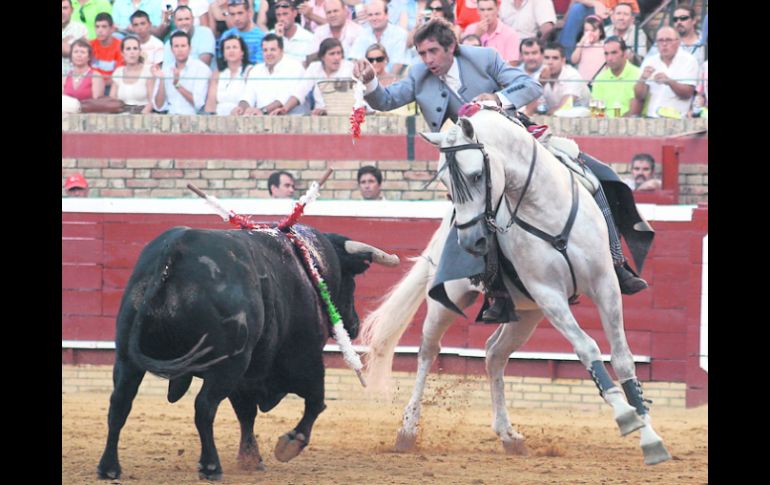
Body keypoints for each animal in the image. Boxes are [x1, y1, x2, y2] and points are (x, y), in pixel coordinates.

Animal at [97, 224, 396, 480]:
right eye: (352, 280)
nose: (354, 324)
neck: (310, 264)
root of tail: (176, 248)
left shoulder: (246, 377)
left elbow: (246, 413)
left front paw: (251, 458)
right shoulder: (306, 359)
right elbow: (315, 402)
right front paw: (290, 442)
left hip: (127, 358)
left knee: (119, 403)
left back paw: (109, 467)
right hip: (227, 364)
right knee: (204, 406)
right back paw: (210, 466)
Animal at [364, 107, 668, 466]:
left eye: (476, 176)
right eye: (445, 183)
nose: (471, 242)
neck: (544, 208)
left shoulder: (605, 285)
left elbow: (622, 357)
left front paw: (650, 437)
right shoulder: (549, 295)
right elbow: (587, 347)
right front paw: (624, 415)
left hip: (525, 314)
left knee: (495, 355)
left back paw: (509, 435)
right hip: (448, 302)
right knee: (428, 350)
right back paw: (408, 430)